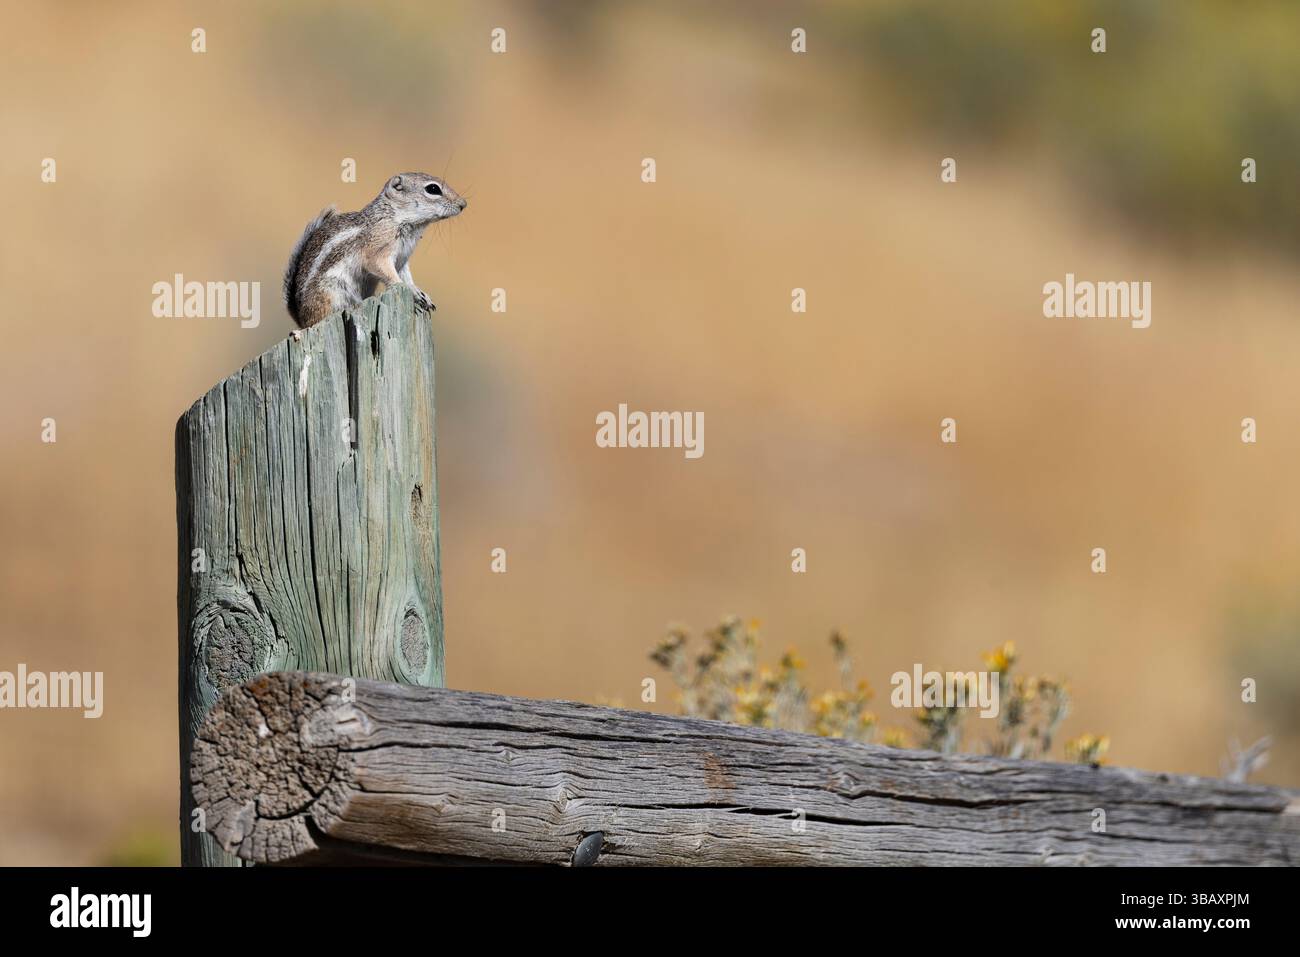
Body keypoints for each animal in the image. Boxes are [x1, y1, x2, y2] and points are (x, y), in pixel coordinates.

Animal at [283, 172, 467, 329]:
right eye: (433, 189)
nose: (463, 204)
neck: (395, 215)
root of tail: (302, 320)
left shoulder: (402, 260)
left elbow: (406, 276)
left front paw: (420, 293)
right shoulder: (378, 251)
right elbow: (387, 272)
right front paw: (409, 290)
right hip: (330, 295)